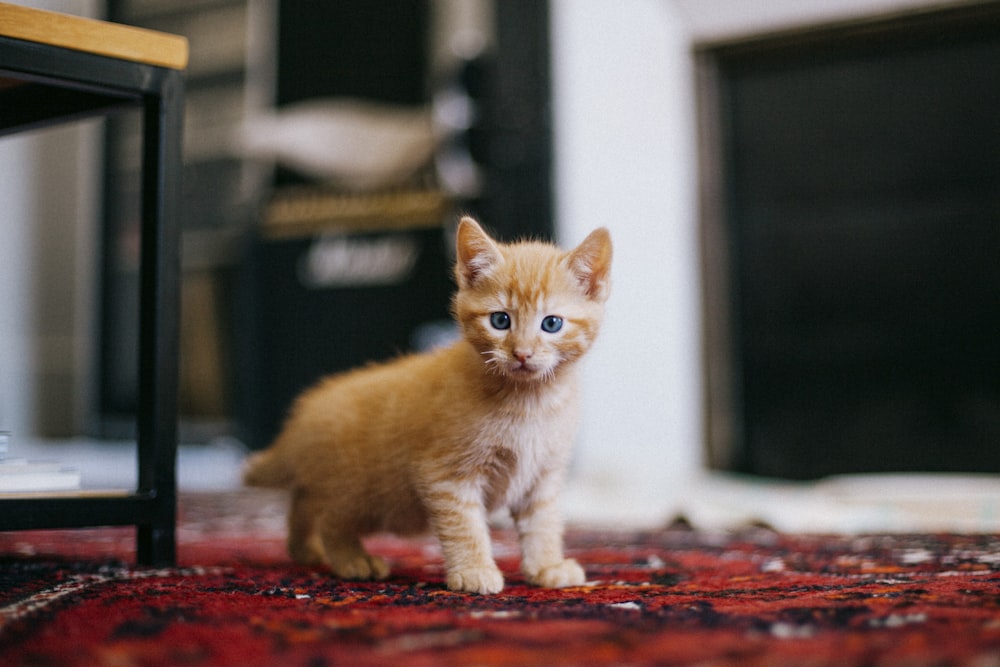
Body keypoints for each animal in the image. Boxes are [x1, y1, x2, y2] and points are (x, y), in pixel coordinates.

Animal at [246, 218, 612, 596]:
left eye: (551, 323)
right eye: (500, 321)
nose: (522, 353)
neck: (529, 401)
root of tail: (304, 414)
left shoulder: (543, 476)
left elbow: (544, 522)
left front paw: (547, 566)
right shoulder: (446, 474)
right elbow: (464, 527)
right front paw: (474, 571)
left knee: (302, 502)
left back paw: (304, 549)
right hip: (356, 491)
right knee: (330, 519)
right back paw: (353, 560)